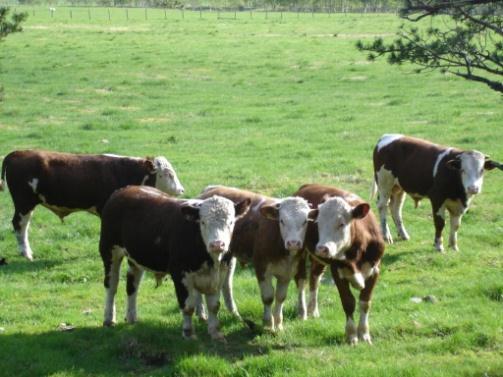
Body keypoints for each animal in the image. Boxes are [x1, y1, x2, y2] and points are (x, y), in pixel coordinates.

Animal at [0, 148, 185, 260]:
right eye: (169, 174)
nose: (181, 190)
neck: (125, 171)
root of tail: (17, 153)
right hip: (24, 203)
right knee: (20, 225)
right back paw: (26, 253)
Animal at [97, 186, 251, 340]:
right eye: (203, 222)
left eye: (230, 222)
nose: (217, 244)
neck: (210, 260)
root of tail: (125, 189)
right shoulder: (180, 273)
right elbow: (188, 306)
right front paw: (188, 333)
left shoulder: (219, 275)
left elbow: (214, 306)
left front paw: (215, 333)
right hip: (109, 250)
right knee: (111, 285)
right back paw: (109, 319)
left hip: (135, 258)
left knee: (132, 283)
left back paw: (131, 317)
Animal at [198, 184, 318, 328]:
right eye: (282, 220)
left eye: (305, 221)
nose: (293, 243)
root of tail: (211, 189)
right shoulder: (261, 266)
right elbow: (268, 297)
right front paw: (268, 324)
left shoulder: (287, 272)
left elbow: (280, 297)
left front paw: (278, 324)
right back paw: (202, 314)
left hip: (228, 255)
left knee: (226, 284)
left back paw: (235, 314)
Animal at [296, 184, 386, 346]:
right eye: (318, 223)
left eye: (342, 224)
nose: (322, 248)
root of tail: (307, 185)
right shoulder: (337, 271)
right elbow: (348, 302)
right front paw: (351, 335)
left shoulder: (375, 270)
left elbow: (365, 302)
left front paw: (364, 334)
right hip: (299, 251)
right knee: (301, 280)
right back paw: (302, 311)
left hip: (319, 260)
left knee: (314, 279)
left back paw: (313, 310)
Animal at [372, 134, 502, 251]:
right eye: (463, 170)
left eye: (481, 170)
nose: (473, 188)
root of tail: (386, 137)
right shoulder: (437, 199)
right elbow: (440, 223)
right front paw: (439, 245)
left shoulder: (459, 205)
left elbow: (456, 225)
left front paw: (454, 247)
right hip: (384, 184)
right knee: (383, 206)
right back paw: (386, 236)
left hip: (398, 188)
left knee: (396, 209)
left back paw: (404, 235)